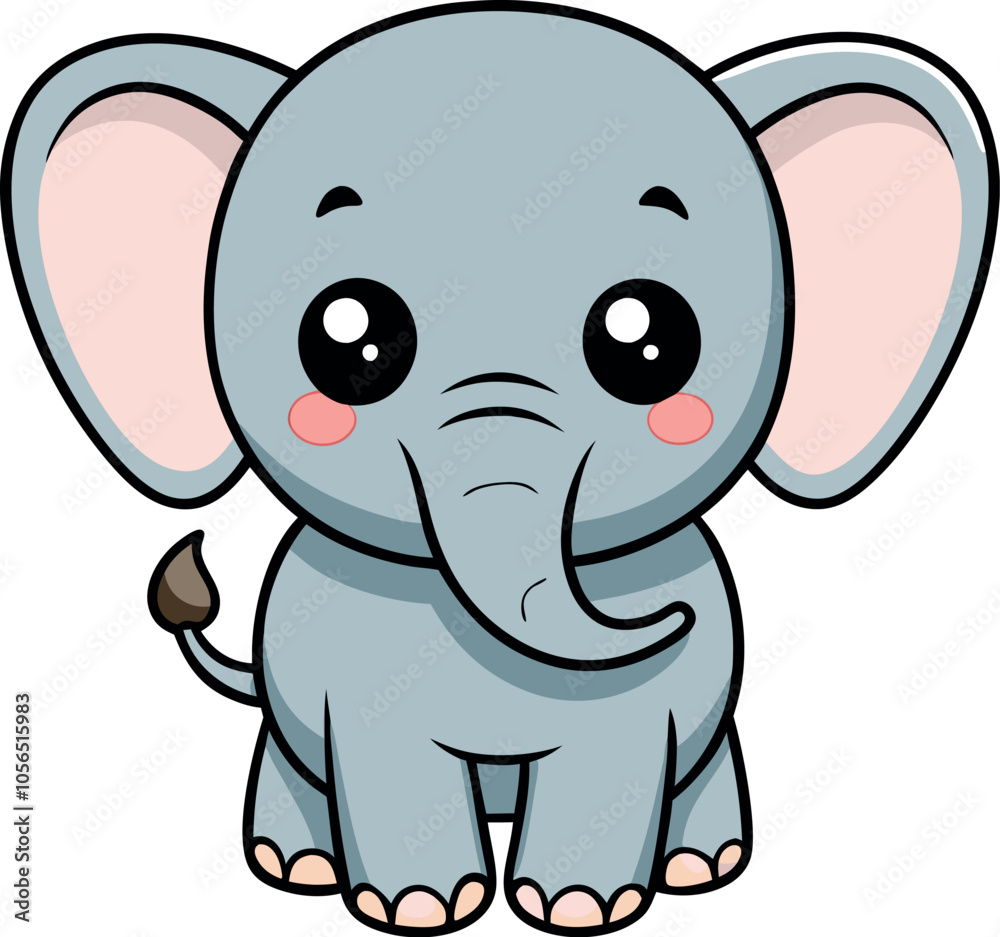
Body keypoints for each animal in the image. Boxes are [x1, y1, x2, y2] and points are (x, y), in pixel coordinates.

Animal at [4, 2, 997, 932]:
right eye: (348, 338)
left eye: (650, 340)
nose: (662, 619)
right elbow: (384, 757)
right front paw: (419, 908)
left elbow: (619, 750)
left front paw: (578, 908)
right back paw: (297, 867)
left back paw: (700, 866)